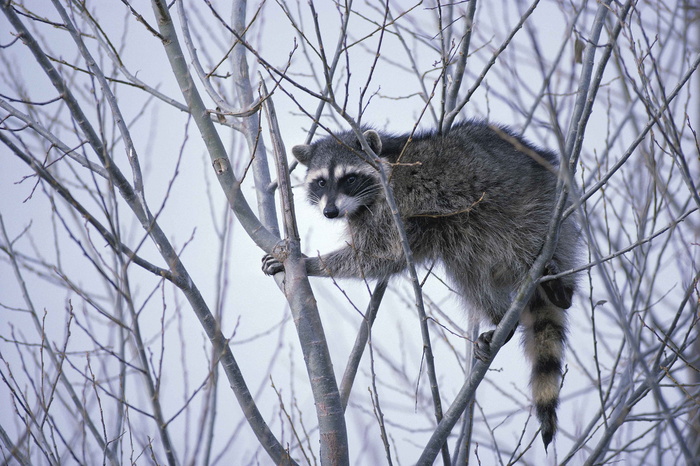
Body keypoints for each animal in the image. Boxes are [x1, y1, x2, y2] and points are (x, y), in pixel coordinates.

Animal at [262, 120, 580, 448]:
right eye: (321, 182)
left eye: (349, 178)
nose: (330, 212)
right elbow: (387, 258)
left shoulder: (393, 205)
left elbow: (379, 254)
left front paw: (311, 263)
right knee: (467, 269)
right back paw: (500, 317)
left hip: (533, 209)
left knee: (523, 240)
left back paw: (561, 288)